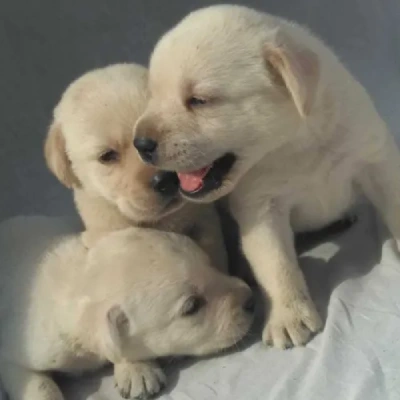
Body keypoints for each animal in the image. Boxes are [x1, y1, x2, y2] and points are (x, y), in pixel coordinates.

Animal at [0, 216, 253, 400]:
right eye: (192, 306)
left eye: (211, 264)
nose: (250, 299)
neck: (80, 281)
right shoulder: (29, 343)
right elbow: (34, 381)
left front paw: (137, 372)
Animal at [133, 3, 400, 346]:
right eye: (152, 96)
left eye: (199, 100)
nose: (140, 144)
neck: (294, 144)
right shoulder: (260, 207)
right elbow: (276, 263)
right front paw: (288, 316)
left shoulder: (376, 160)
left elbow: (394, 205)